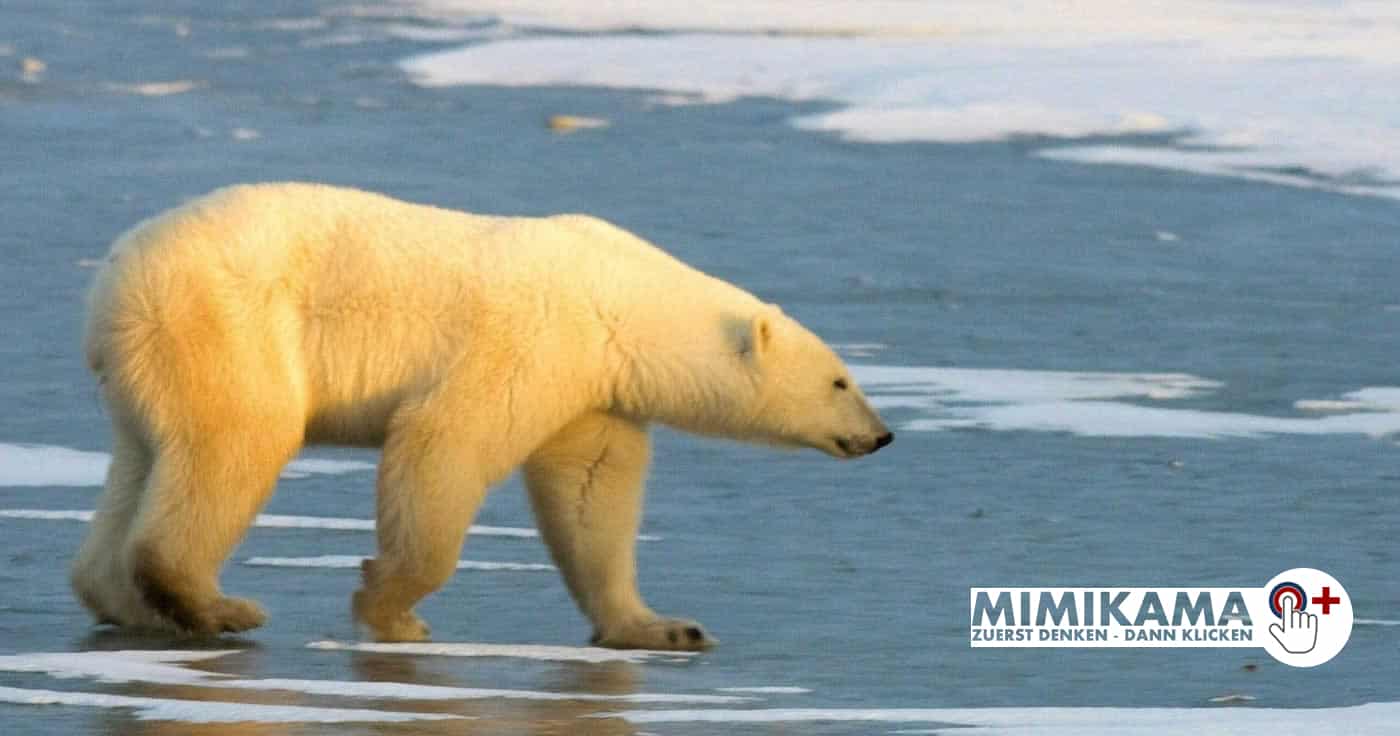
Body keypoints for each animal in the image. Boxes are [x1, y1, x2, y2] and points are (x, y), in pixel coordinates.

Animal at [65, 184, 890, 652]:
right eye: (842, 380)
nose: (881, 436)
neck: (619, 299)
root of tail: (112, 282)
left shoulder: (592, 389)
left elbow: (592, 495)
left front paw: (664, 627)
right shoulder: (534, 338)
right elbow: (444, 444)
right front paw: (391, 609)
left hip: (150, 362)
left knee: (143, 460)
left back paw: (124, 601)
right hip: (229, 322)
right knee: (239, 439)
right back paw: (216, 606)